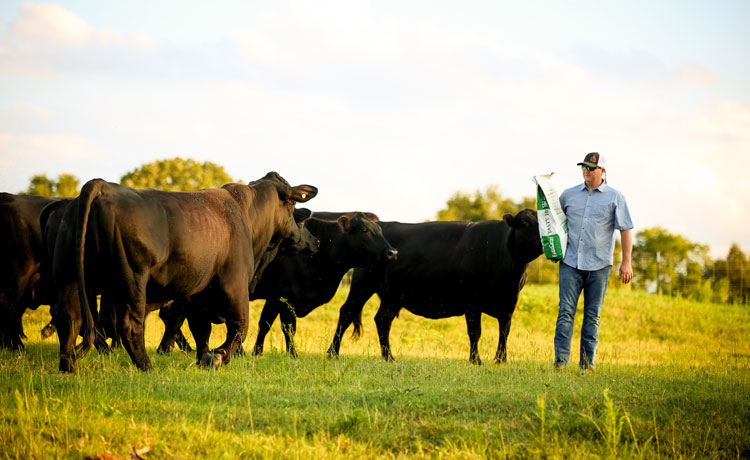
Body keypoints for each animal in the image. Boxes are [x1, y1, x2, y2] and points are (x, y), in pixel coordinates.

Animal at [51, 171, 318, 372]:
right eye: (293, 205)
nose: (314, 241)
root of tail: (102, 185)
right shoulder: (235, 283)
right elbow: (239, 327)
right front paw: (218, 356)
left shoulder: (196, 292)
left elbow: (201, 329)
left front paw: (203, 359)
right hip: (131, 278)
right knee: (129, 325)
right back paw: (146, 366)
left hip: (68, 276)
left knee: (68, 319)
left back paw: (67, 367)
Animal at [251, 210, 400, 358]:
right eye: (364, 230)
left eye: (379, 229)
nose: (392, 252)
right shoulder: (284, 296)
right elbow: (285, 326)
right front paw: (291, 354)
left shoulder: (276, 298)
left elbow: (267, 324)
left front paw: (258, 352)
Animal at [326, 210, 544, 364]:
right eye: (525, 223)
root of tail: (380, 224)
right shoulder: (472, 301)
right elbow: (475, 332)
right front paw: (476, 360)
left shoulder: (509, 303)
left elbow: (504, 331)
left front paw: (501, 359)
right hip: (363, 286)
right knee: (346, 313)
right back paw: (332, 352)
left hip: (393, 295)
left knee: (382, 320)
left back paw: (389, 357)